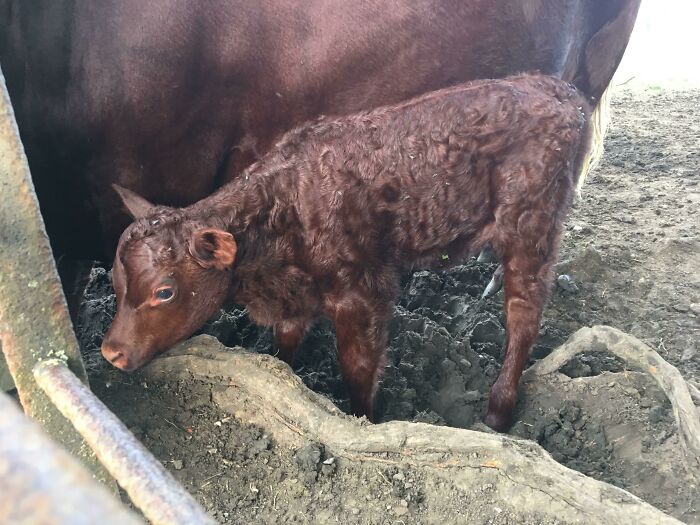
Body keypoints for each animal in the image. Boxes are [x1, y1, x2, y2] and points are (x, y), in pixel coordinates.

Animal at [102, 73, 591, 431]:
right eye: (114, 281)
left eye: (164, 292)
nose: (110, 353)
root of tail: (559, 90)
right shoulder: (293, 296)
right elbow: (283, 348)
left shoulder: (361, 291)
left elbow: (357, 367)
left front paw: (362, 420)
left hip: (531, 226)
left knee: (523, 313)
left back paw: (498, 411)